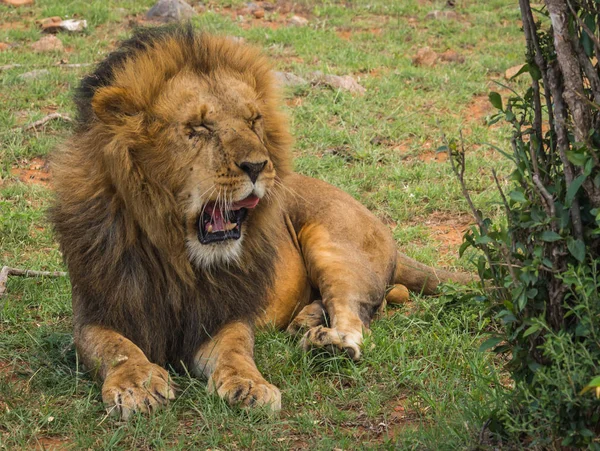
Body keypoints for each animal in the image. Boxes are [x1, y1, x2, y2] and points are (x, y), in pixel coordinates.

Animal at [50, 25, 468, 420]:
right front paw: (136, 384)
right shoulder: (95, 314)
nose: (256, 165)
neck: (177, 258)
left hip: (333, 243)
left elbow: (236, 351)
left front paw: (250, 386)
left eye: (253, 121)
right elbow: (116, 348)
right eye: (198, 127)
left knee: (357, 316)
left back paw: (328, 343)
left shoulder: (226, 314)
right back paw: (307, 322)